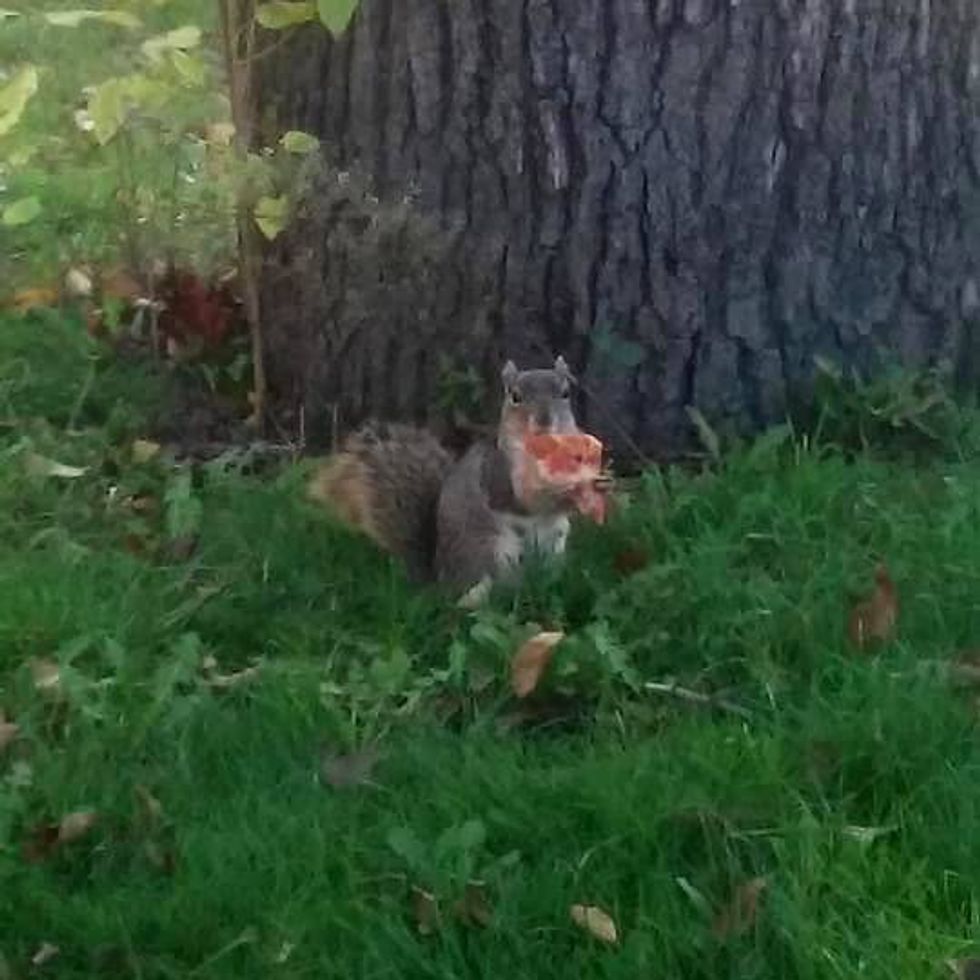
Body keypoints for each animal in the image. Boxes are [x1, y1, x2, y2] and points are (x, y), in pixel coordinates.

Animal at [308, 356, 587, 606]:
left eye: (565, 393)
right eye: (515, 397)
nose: (544, 421)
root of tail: (439, 580)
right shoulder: (495, 473)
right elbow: (517, 499)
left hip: (554, 546)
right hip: (490, 550)